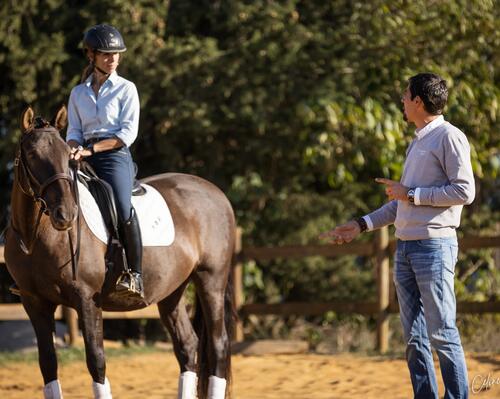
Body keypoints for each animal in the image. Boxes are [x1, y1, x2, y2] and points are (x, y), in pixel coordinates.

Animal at [4, 106, 236, 399]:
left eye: (67, 157)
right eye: (33, 155)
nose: (66, 214)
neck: (35, 236)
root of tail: (216, 193)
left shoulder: (86, 299)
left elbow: (97, 361)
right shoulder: (34, 303)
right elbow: (47, 363)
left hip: (211, 280)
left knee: (218, 345)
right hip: (172, 292)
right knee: (188, 346)